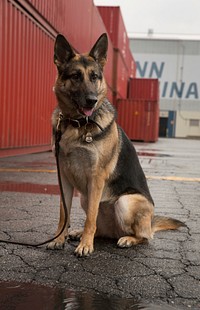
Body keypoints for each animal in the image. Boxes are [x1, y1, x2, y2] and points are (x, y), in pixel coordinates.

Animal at [47, 33, 185, 256]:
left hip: (125, 202)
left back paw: (127, 238)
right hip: (85, 198)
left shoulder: (96, 178)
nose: (92, 100)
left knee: (144, 237)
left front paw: (85, 246)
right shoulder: (64, 179)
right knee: (101, 229)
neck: (78, 123)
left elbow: (90, 218)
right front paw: (59, 238)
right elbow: (63, 214)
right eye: (75, 76)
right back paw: (79, 233)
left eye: (95, 76)